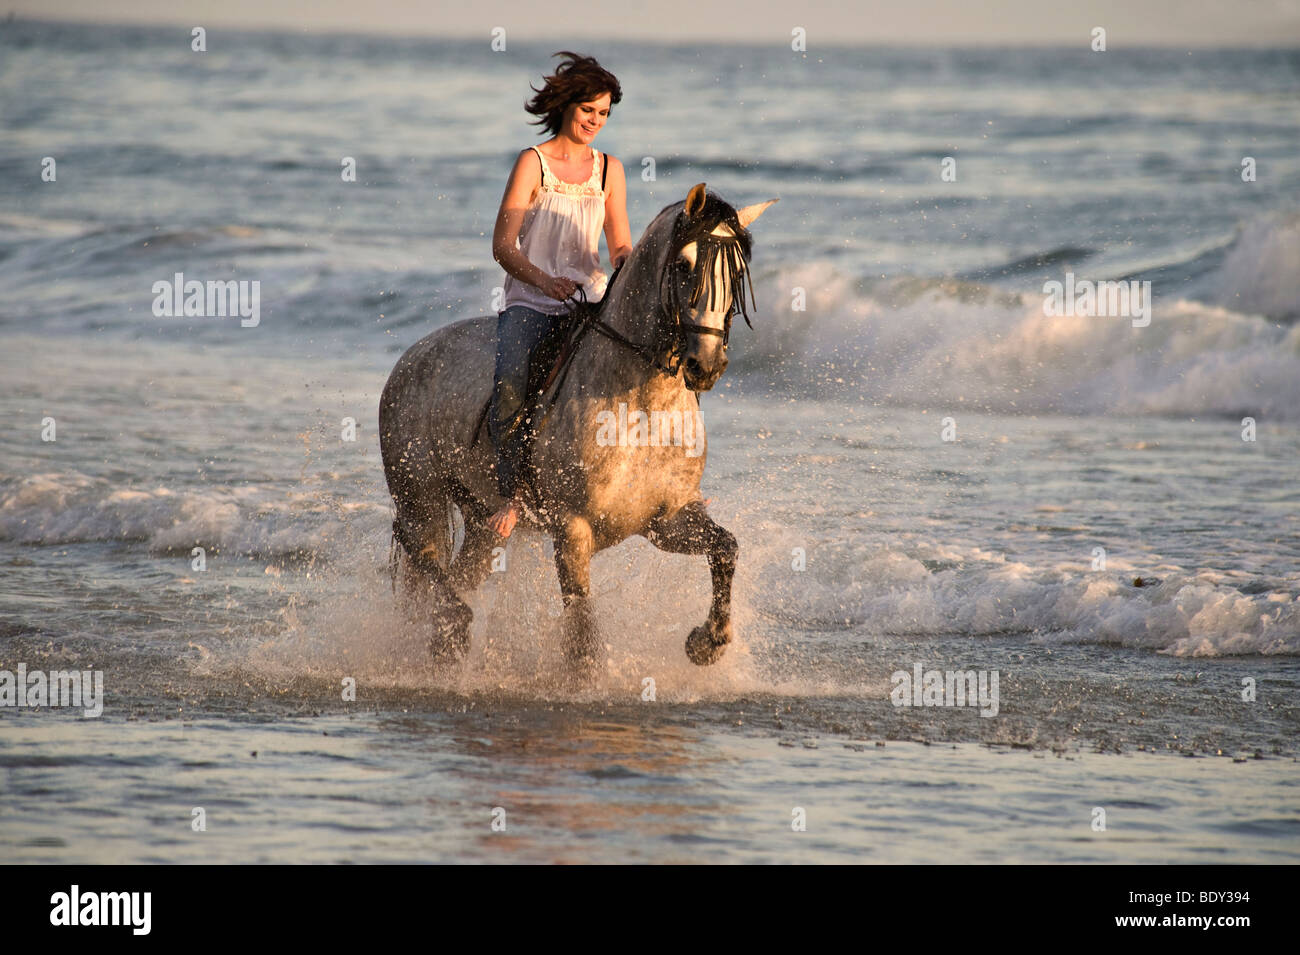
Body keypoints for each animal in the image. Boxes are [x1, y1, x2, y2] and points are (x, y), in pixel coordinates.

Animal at [379, 183, 774, 670]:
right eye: (684, 266)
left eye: (736, 272)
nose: (708, 365)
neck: (639, 408)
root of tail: (410, 357)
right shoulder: (572, 528)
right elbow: (583, 633)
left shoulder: (668, 520)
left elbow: (725, 548)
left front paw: (708, 642)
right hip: (420, 494)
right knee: (423, 553)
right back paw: (454, 624)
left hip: (479, 519)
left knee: (454, 573)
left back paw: (446, 645)